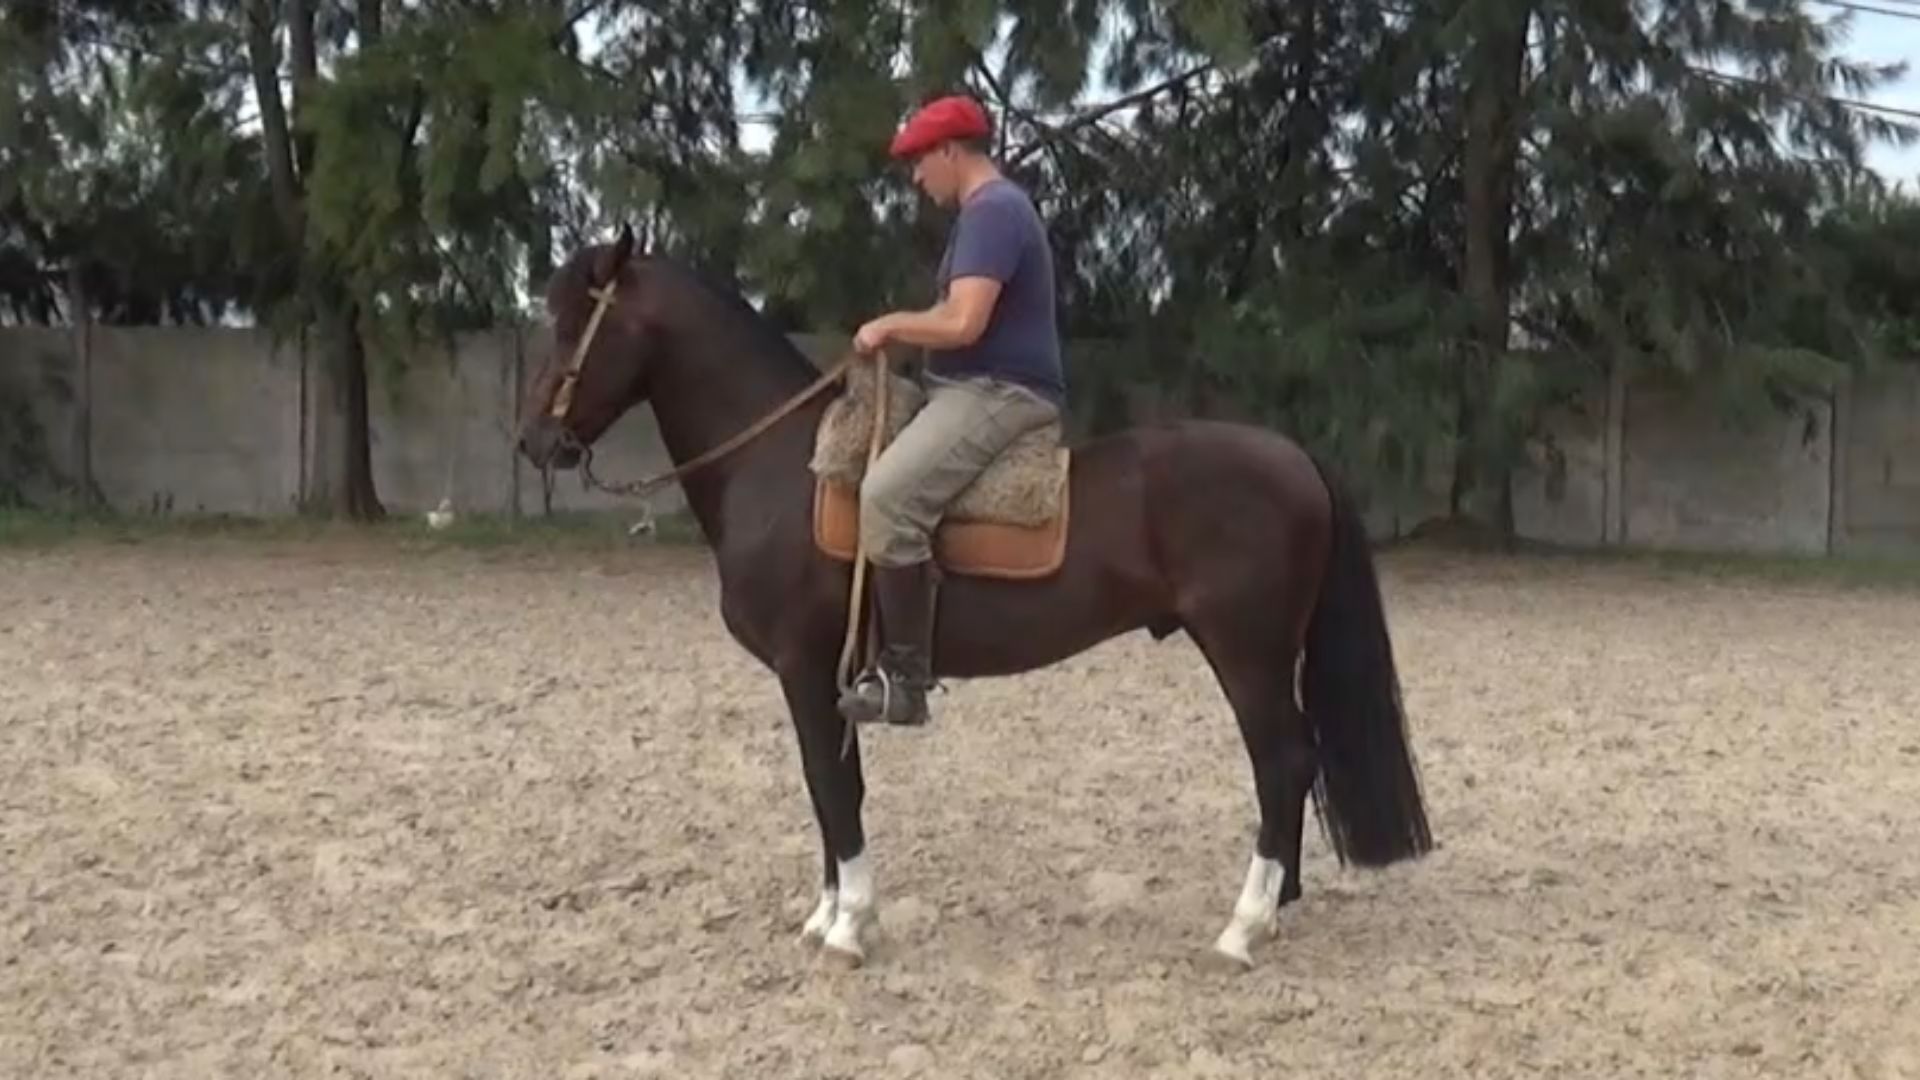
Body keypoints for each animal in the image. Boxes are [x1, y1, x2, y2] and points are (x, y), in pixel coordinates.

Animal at [514, 226, 1433, 969]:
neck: (782, 464)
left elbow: (829, 787)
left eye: (569, 323)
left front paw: (848, 925)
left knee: (1282, 762)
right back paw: (1275, 909)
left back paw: (1242, 928)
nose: (533, 442)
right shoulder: (824, 680)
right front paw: (825, 914)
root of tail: (1295, 456)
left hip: (1247, 651)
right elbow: (832, 790)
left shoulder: (806, 669)